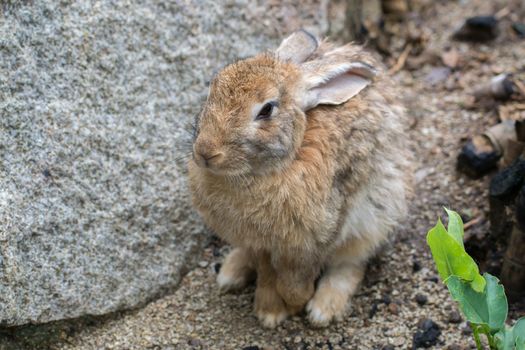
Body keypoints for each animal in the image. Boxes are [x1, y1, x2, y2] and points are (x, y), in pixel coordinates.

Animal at [187, 30, 410, 328]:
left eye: (267, 110)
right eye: (213, 88)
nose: (205, 152)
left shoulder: (315, 236)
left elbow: (295, 280)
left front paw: (294, 305)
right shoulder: (261, 243)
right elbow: (267, 273)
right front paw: (270, 311)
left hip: (377, 216)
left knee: (351, 263)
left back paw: (323, 309)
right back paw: (229, 274)